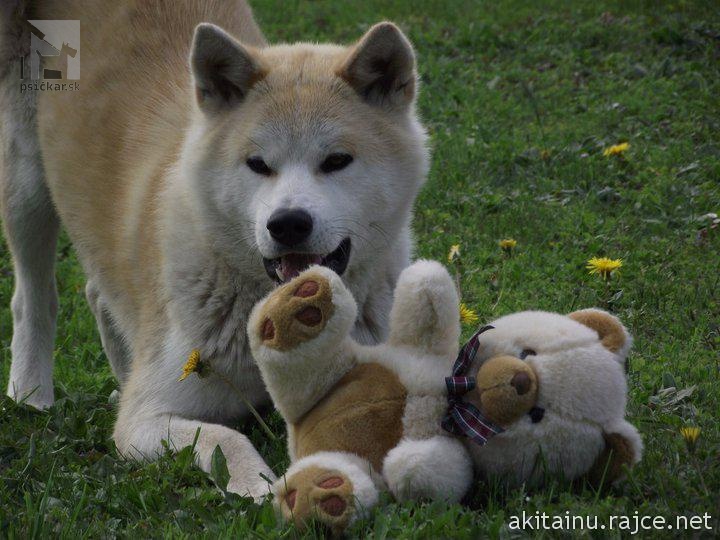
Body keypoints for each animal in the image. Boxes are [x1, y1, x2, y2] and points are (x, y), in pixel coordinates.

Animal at [0, 0, 428, 498]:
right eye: (258, 164)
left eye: (337, 161)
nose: (287, 223)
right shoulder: (144, 419)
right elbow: (227, 437)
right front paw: (260, 489)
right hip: (27, 184)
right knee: (32, 297)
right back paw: (31, 394)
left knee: (99, 292)